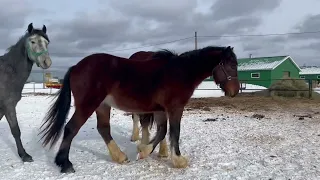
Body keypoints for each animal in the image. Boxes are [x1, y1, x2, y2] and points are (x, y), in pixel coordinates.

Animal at [0, 22, 52, 162]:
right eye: (32, 41)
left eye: (47, 42)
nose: (47, 62)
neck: (8, 73)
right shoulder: (9, 106)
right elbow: (16, 130)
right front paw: (24, 155)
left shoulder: (2, 108)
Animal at [38, 45, 239, 173]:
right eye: (231, 65)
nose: (235, 91)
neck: (180, 72)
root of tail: (76, 67)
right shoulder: (175, 108)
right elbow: (174, 132)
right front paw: (178, 160)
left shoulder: (159, 110)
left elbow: (162, 131)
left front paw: (145, 150)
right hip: (88, 105)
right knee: (71, 128)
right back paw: (65, 164)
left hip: (102, 106)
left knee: (103, 129)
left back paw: (120, 157)